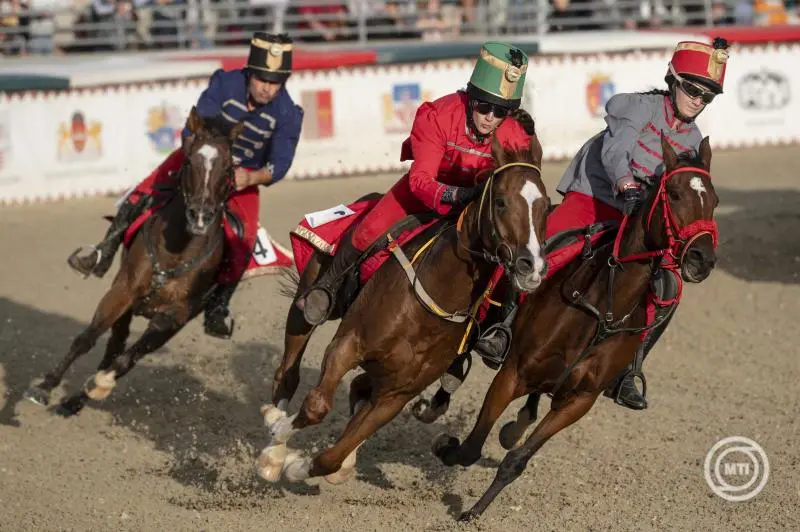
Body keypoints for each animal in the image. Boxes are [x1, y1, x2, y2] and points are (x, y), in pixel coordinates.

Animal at [24, 107, 244, 416]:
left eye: (227, 167)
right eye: (190, 160)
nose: (200, 216)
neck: (177, 251)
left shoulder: (174, 317)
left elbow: (126, 361)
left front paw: (100, 385)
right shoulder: (122, 291)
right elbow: (87, 338)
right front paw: (44, 386)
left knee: (120, 354)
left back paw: (79, 397)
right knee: (113, 344)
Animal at [256, 135, 552, 484]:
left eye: (546, 206)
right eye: (501, 202)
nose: (531, 266)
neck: (430, 300)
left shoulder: (397, 395)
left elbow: (333, 455)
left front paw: (303, 466)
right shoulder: (348, 345)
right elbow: (316, 406)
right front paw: (277, 445)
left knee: (357, 392)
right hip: (306, 303)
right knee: (288, 371)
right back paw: (273, 433)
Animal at [432, 135, 720, 520]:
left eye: (714, 200)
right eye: (673, 194)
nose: (702, 258)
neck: (602, 308)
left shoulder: (579, 400)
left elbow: (515, 462)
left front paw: (475, 509)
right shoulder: (512, 373)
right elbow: (470, 447)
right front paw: (447, 451)